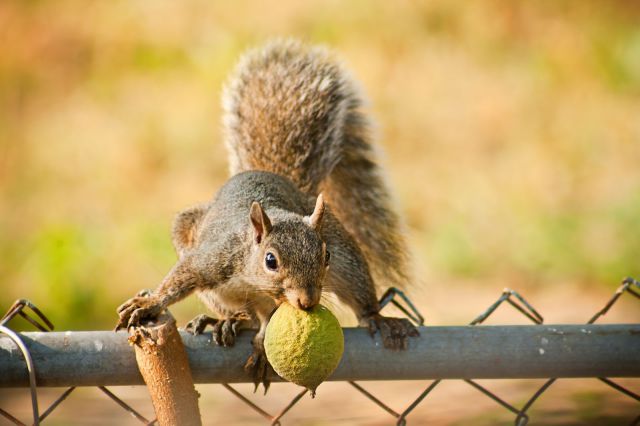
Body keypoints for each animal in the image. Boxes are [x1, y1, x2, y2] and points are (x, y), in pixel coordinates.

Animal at [116, 40, 420, 390]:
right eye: (271, 260)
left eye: (325, 256)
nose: (308, 301)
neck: (253, 277)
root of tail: (275, 177)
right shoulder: (213, 259)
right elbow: (179, 280)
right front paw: (148, 303)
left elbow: (266, 321)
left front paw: (262, 347)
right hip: (196, 248)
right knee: (235, 310)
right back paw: (224, 320)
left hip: (347, 256)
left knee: (357, 295)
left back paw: (377, 317)